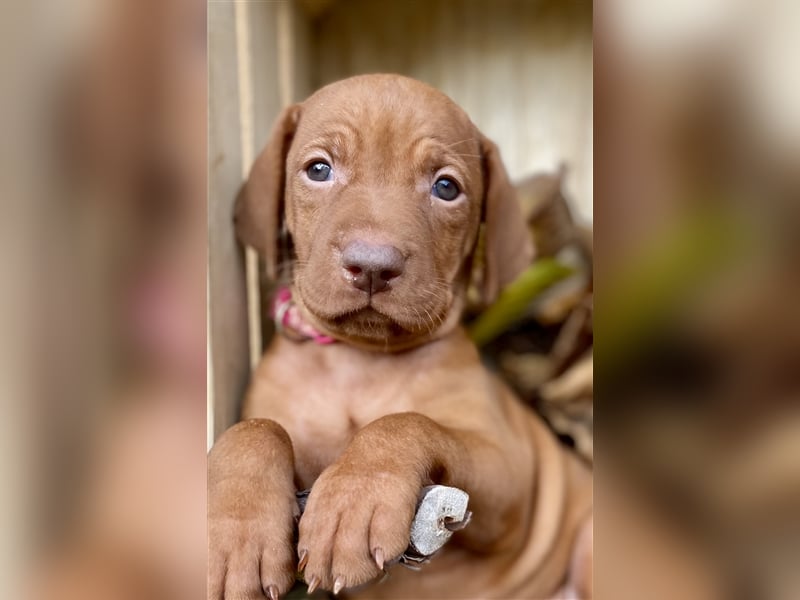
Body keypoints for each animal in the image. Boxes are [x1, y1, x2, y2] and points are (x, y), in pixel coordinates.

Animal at [209, 75, 592, 600]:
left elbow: (407, 421)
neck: (359, 360)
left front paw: (356, 500)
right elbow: (254, 429)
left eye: (446, 187)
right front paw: (238, 531)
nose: (372, 266)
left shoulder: (508, 473)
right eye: (318, 169)